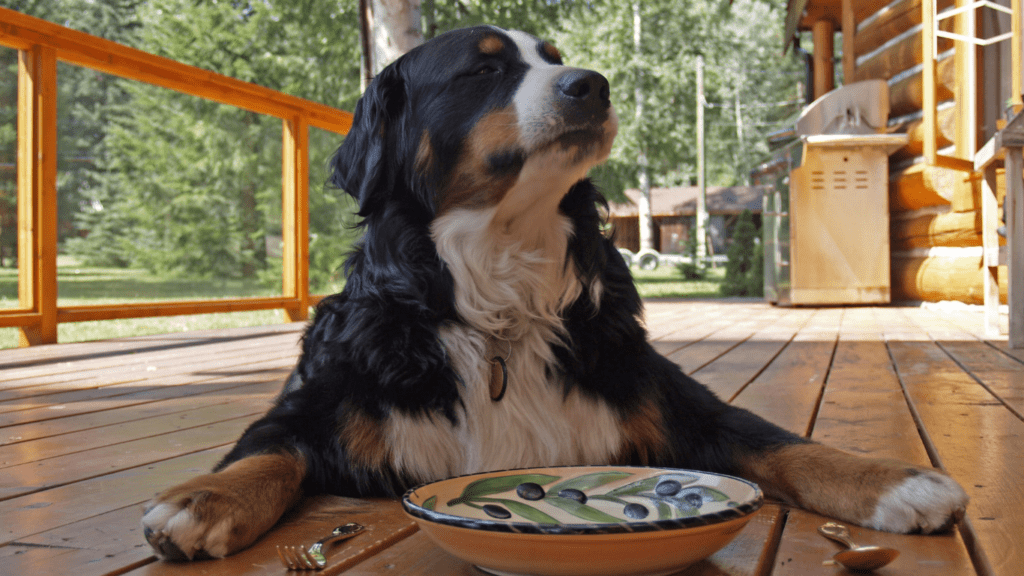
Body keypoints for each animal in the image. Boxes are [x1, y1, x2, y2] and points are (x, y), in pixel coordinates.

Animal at [142, 24, 966, 557]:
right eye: (482, 71)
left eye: (556, 60)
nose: (591, 85)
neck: (500, 297)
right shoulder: (320, 403)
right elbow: (267, 453)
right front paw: (200, 499)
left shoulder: (670, 398)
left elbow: (782, 443)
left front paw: (893, 482)